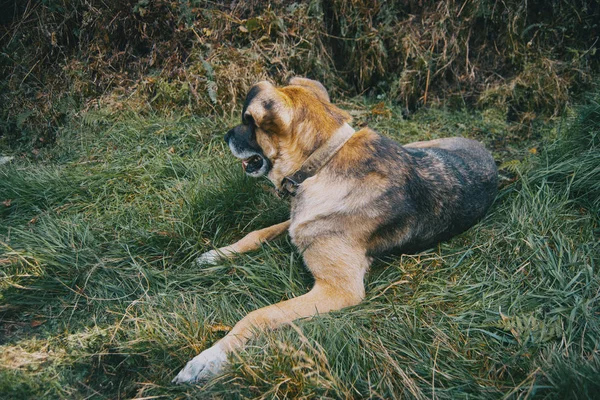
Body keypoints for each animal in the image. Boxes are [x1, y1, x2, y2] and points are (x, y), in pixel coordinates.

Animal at [172, 77, 496, 384]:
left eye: (248, 121)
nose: (225, 136)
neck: (321, 162)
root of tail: (486, 149)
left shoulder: (338, 289)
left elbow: (259, 315)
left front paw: (210, 357)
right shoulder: (298, 221)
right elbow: (256, 234)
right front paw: (217, 255)